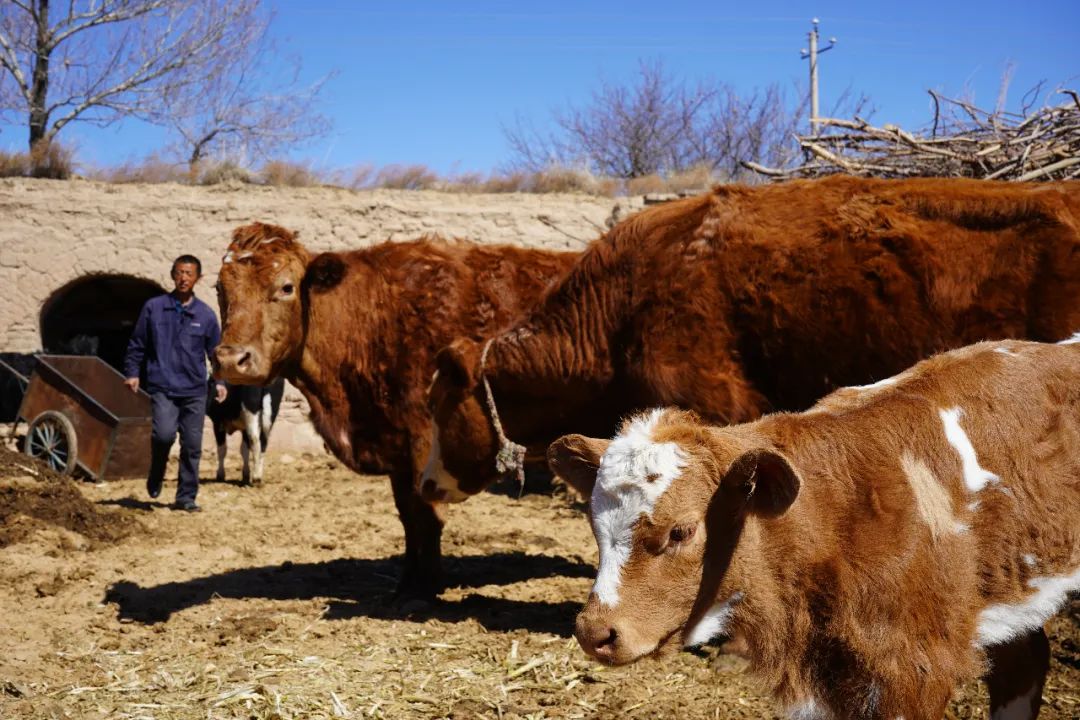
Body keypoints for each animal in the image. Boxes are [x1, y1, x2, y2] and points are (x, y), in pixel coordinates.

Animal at [213, 223, 578, 595]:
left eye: (286, 287)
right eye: (219, 288)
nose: (231, 359)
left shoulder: (424, 440)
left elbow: (427, 515)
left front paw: (427, 586)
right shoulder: (396, 448)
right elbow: (407, 515)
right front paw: (406, 581)